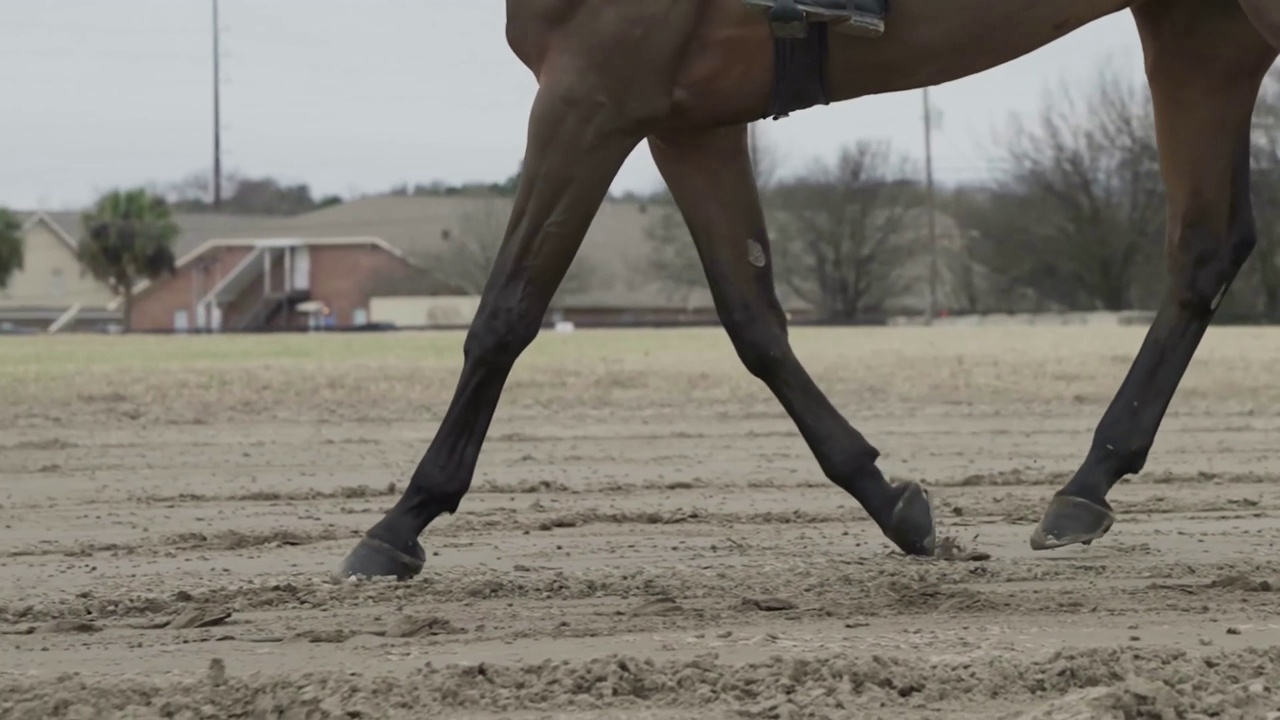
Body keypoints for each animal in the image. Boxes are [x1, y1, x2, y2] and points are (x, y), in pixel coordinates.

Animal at [337, 0, 1280, 576]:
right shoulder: (689, 121)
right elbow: (752, 321)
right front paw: (891, 501)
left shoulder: (589, 91)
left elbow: (507, 312)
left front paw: (403, 519)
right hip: (1204, 32)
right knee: (1205, 250)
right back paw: (1088, 484)